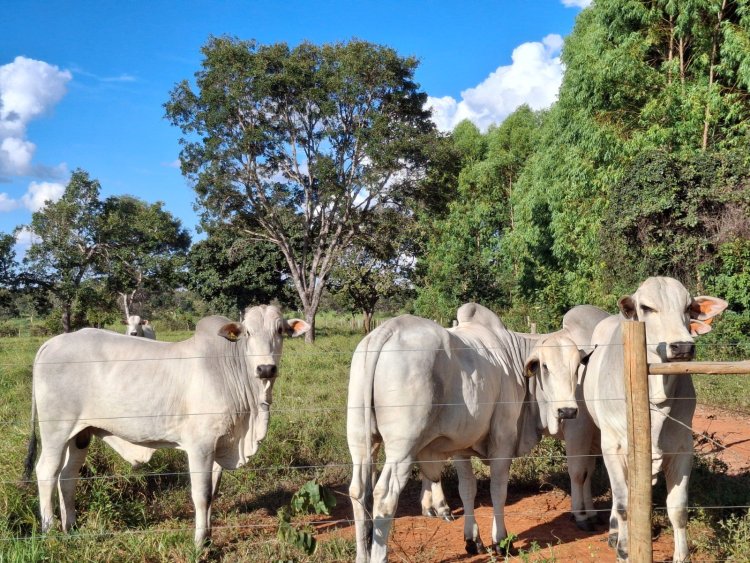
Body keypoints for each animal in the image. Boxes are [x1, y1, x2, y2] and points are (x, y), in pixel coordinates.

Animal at [23, 305, 310, 546]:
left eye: (280, 331)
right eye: (248, 332)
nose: (265, 369)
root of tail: (51, 343)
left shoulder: (221, 444)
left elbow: (213, 493)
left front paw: (208, 537)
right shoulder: (200, 446)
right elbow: (201, 494)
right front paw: (199, 544)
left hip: (81, 434)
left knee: (67, 476)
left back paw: (70, 528)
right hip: (56, 430)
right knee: (46, 472)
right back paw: (50, 531)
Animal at [347, 303, 586, 563]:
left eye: (577, 368)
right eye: (545, 366)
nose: (567, 410)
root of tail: (386, 330)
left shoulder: (459, 447)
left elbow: (467, 489)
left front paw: (473, 540)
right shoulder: (503, 439)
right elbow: (498, 490)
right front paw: (501, 541)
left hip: (360, 441)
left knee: (358, 491)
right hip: (402, 448)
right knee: (384, 496)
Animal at [582, 277, 727, 562]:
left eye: (688, 308)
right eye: (647, 308)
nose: (683, 346)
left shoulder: (682, 449)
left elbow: (678, 508)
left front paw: (682, 556)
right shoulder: (613, 447)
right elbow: (624, 504)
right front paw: (624, 549)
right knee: (619, 496)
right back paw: (615, 534)